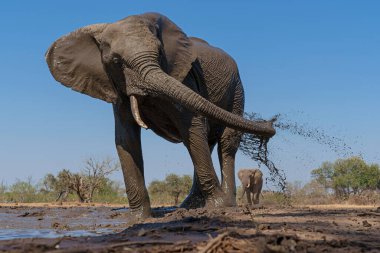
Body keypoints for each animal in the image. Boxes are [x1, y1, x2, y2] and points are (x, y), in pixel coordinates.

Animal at [46, 11, 274, 218]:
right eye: (116, 61)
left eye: (159, 52)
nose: (272, 125)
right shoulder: (116, 88)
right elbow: (126, 140)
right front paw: (139, 219)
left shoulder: (184, 78)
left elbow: (192, 126)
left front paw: (219, 208)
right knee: (205, 142)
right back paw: (189, 206)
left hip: (237, 91)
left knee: (225, 143)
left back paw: (225, 204)